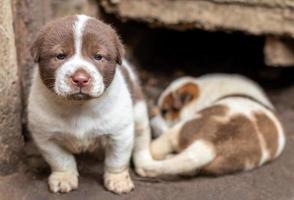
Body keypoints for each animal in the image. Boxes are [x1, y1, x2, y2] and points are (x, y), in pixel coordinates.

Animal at [27, 15, 153, 194]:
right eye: (60, 56)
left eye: (98, 56)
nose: (80, 78)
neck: (79, 106)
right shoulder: (45, 136)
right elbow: (60, 159)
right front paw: (64, 178)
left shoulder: (120, 133)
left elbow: (117, 159)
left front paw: (118, 180)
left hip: (138, 109)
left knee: (142, 136)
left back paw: (146, 164)